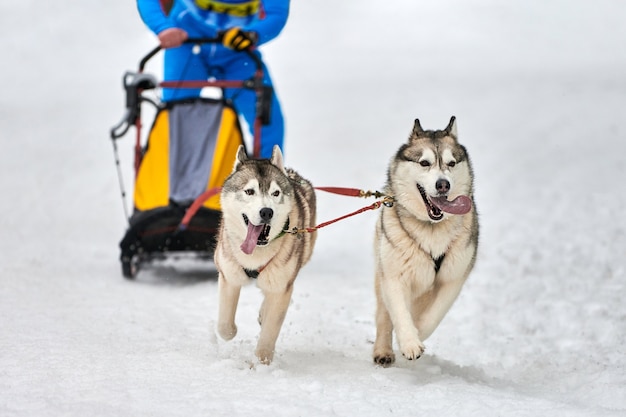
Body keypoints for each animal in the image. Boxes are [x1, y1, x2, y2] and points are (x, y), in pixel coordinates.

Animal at [214, 144, 314, 364]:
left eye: (276, 193)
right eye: (249, 191)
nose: (267, 211)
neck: (255, 255)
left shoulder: (281, 287)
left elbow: (269, 333)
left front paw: (261, 363)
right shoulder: (228, 276)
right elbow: (224, 327)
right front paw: (230, 331)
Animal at [370, 115, 478, 366]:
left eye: (451, 163)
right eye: (424, 163)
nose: (443, 184)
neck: (431, 229)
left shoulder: (453, 278)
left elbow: (433, 315)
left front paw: (417, 331)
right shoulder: (393, 276)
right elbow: (399, 312)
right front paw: (409, 342)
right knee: (383, 315)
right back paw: (383, 350)